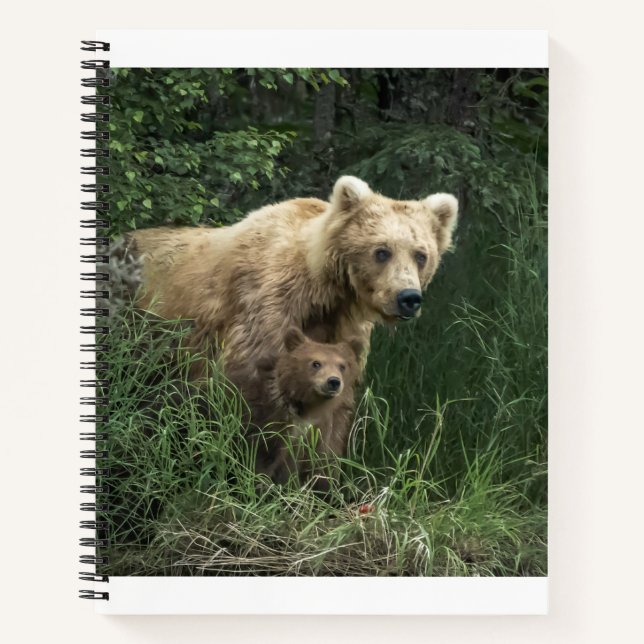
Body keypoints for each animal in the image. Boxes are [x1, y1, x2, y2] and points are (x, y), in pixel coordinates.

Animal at [122, 176, 459, 388]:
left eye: (421, 255)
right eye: (382, 251)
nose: (408, 297)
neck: (325, 291)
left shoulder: (340, 326)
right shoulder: (266, 310)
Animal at [226, 327, 363, 489]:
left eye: (342, 366)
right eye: (316, 363)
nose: (333, 382)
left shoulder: (321, 430)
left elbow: (318, 464)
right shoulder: (267, 421)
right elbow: (260, 460)